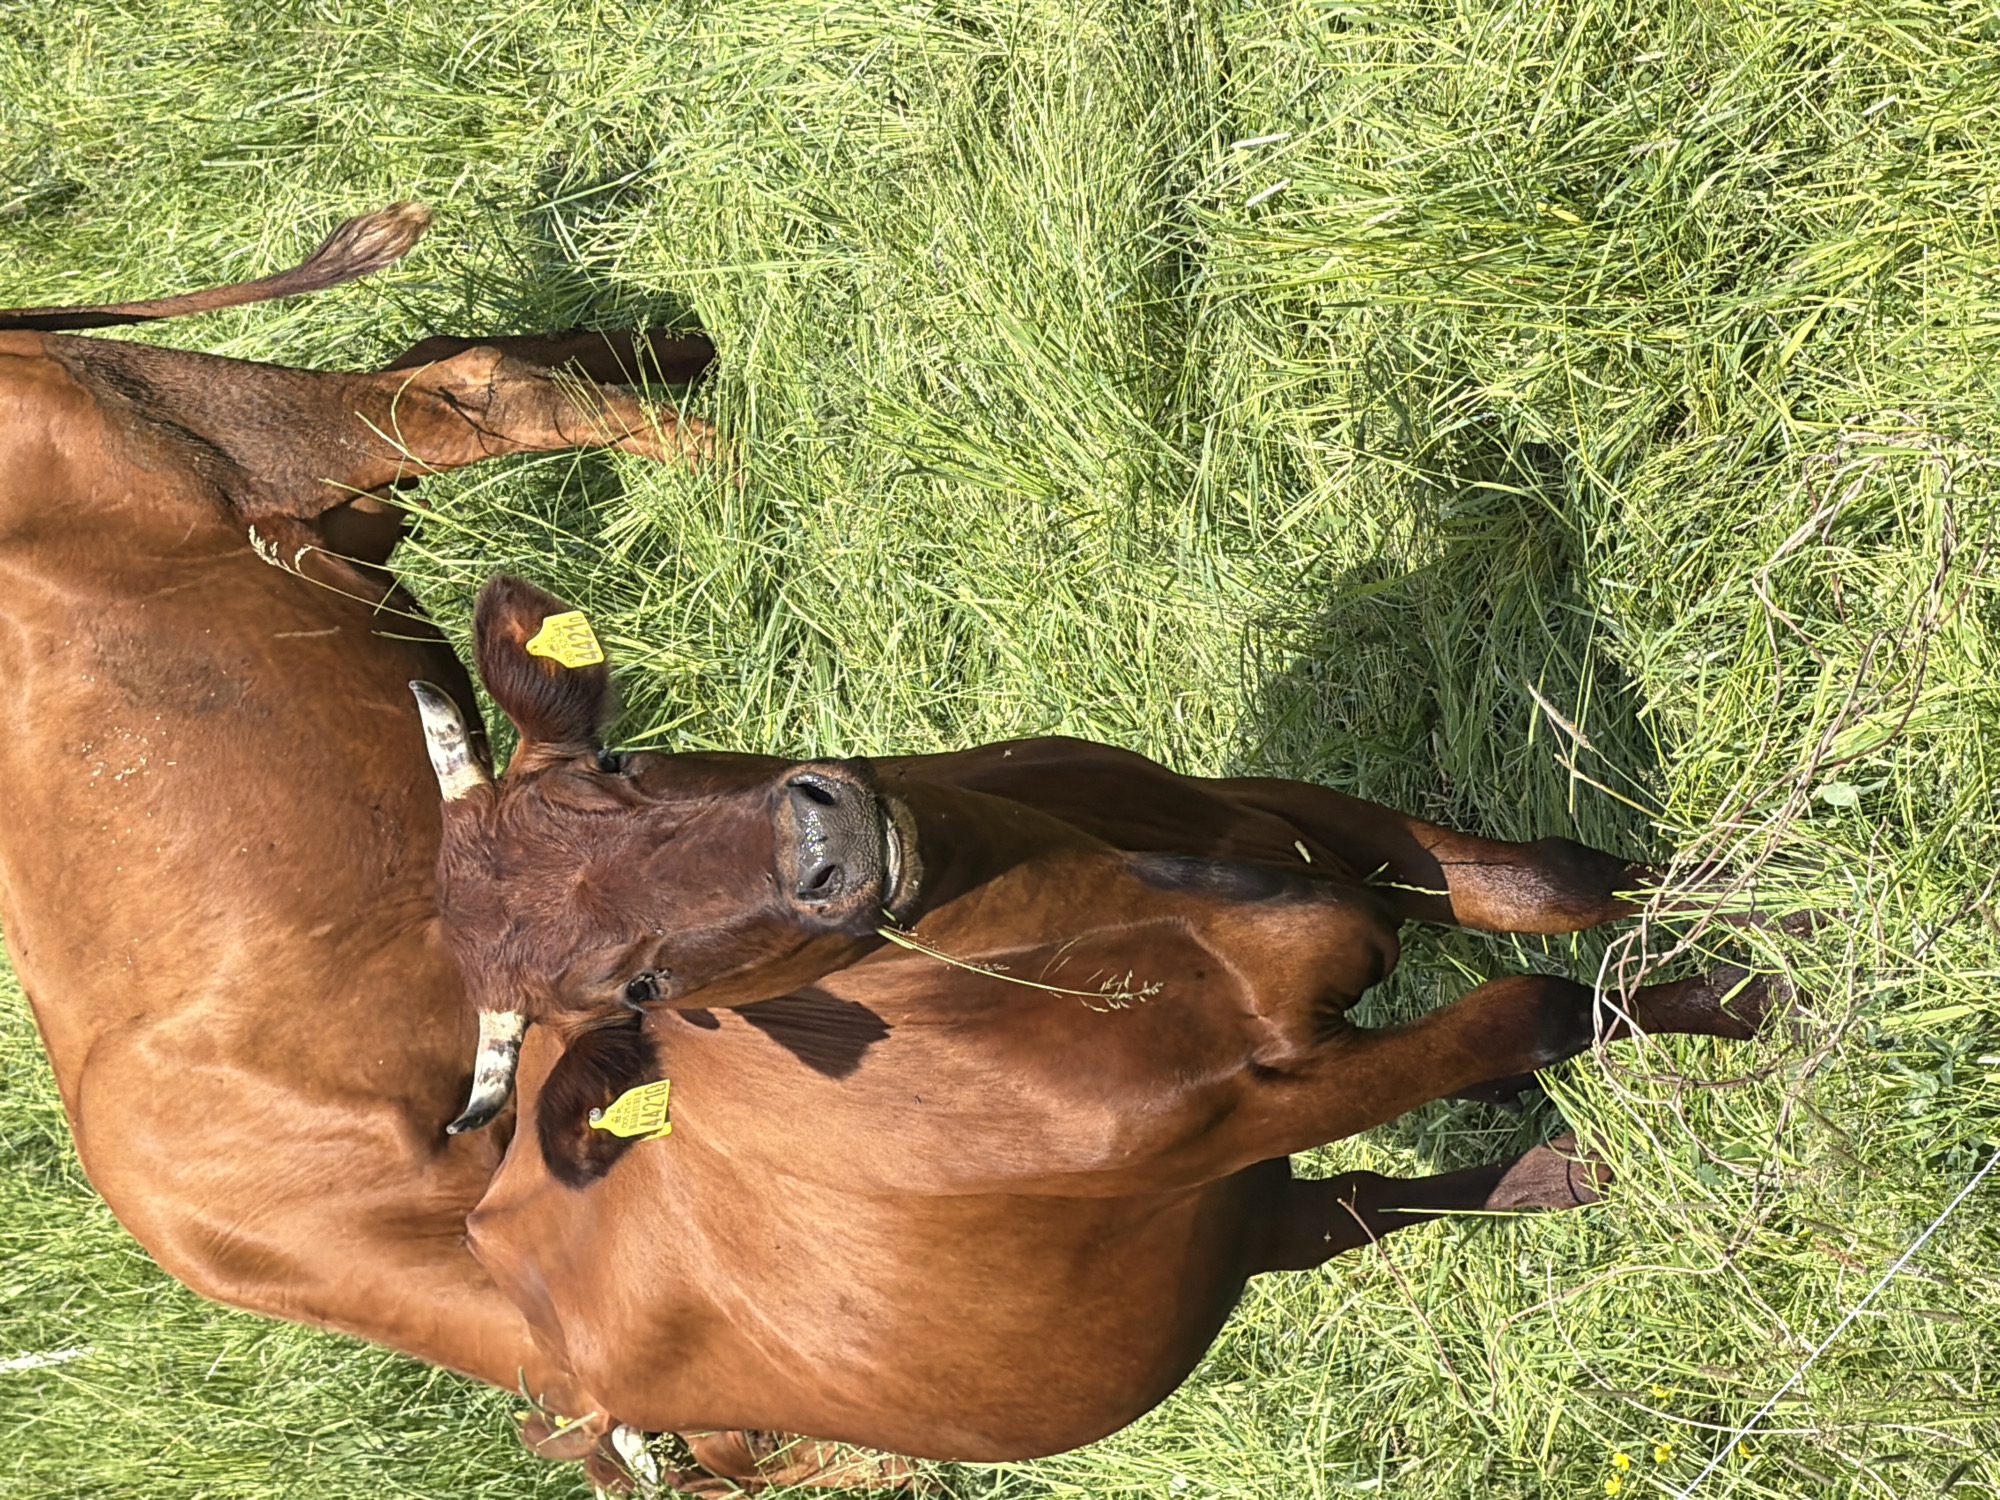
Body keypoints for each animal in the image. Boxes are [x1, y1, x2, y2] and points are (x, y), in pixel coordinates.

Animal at [0, 205, 893, 1493]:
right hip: (317, 505)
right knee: (458, 363)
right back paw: (686, 362)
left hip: (242, 447)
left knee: (462, 387)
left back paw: (730, 457)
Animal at [410, 573, 1782, 1472]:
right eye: (635, 992)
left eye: (620, 764)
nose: (818, 846)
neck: (1098, 912)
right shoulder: (1239, 1111)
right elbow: (1537, 1006)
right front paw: (1770, 998)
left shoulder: (1290, 814)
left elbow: (1560, 884)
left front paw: (1769, 914)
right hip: (1219, 1220)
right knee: (1348, 1212)